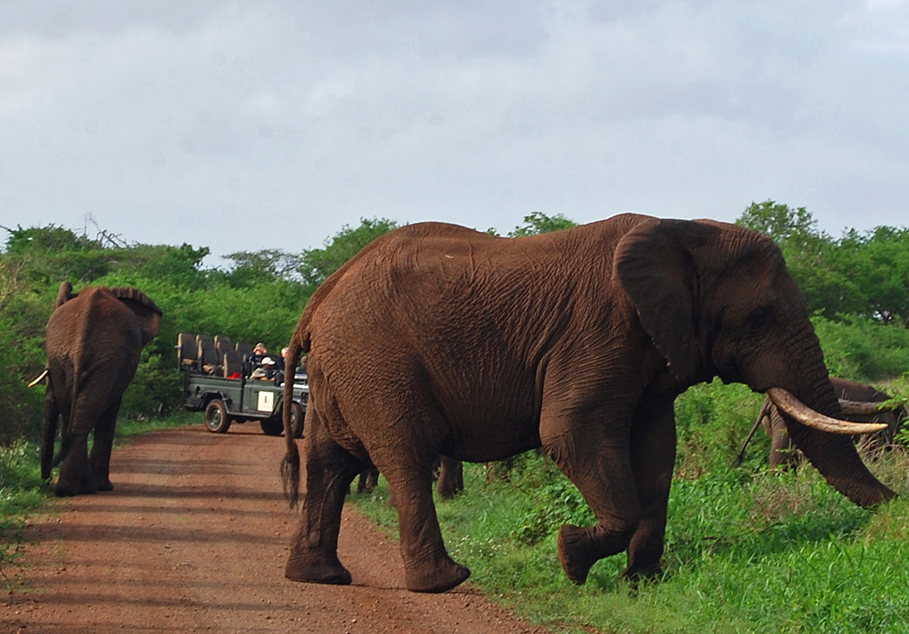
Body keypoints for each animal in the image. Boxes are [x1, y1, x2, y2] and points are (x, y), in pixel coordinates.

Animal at [42, 280, 163, 494]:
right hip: (89, 356)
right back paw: (83, 488)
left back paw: (71, 489)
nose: (46, 478)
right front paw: (104, 487)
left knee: (75, 414)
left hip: (82, 357)